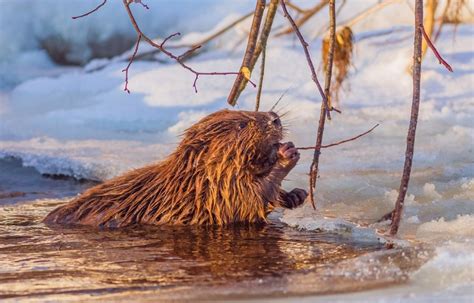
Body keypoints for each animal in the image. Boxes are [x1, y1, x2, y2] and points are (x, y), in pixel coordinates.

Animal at [44, 110, 308, 228]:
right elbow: (247, 201)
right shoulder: (215, 194)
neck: (191, 181)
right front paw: (287, 154)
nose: (274, 118)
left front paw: (296, 195)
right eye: (242, 125)